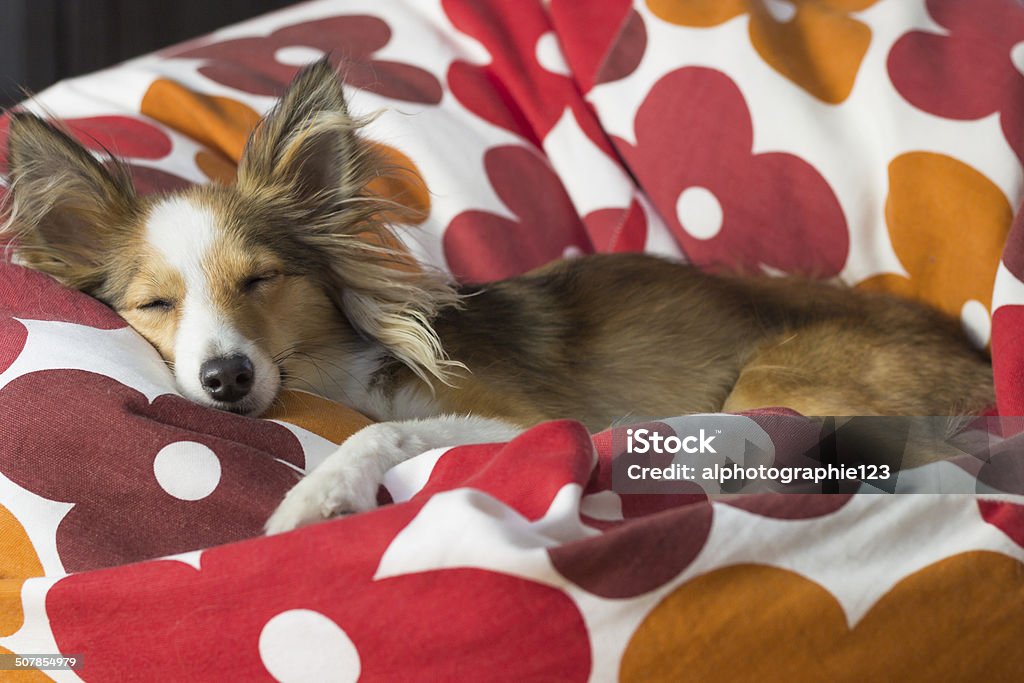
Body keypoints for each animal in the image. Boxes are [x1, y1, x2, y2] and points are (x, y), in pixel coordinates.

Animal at [0, 61, 991, 532]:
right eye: (153, 306)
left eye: (260, 279)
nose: (226, 381)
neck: (331, 369)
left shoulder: (521, 421)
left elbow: (380, 434)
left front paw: (311, 501)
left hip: (776, 383)